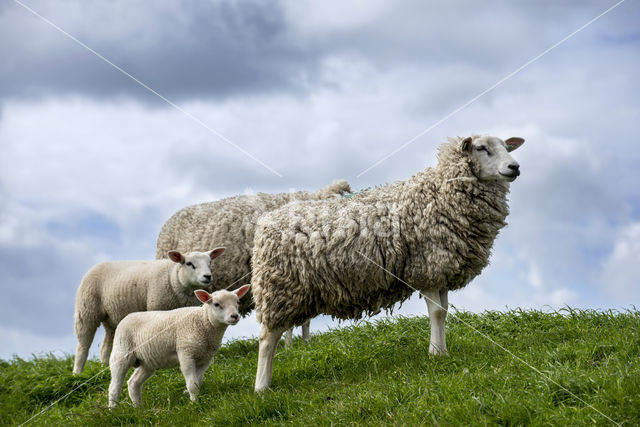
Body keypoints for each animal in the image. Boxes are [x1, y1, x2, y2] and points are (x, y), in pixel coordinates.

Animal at [72, 247, 225, 374]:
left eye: (210, 262)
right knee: (83, 344)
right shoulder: (157, 309)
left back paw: (104, 367)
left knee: (107, 343)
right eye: (189, 264)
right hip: (86, 310)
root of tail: (95, 266)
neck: (173, 278)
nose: (207, 276)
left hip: (112, 318)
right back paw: (77, 372)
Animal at [107, 284, 250, 408]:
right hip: (121, 353)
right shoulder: (186, 353)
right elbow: (192, 384)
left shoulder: (206, 359)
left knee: (133, 383)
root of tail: (125, 318)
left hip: (147, 362)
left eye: (238, 302)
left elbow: (198, 382)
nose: (235, 316)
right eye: (216, 304)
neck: (204, 322)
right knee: (114, 387)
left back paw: (138, 408)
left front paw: (194, 398)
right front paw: (195, 404)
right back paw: (112, 409)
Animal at [250, 135, 524, 392]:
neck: (439, 192)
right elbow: (436, 312)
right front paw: (436, 353)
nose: (515, 167)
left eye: (506, 147)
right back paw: (261, 387)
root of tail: (265, 222)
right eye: (481, 148)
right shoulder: (426, 266)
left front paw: (443, 350)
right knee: (267, 338)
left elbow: (444, 311)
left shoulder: (442, 269)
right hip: (278, 288)